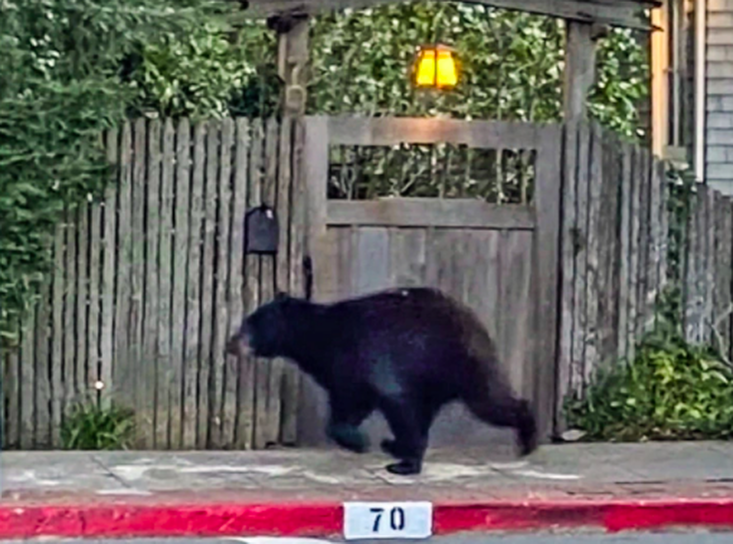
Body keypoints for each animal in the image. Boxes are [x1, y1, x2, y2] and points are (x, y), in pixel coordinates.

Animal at [226, 286, 537, 476]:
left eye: (249, 323)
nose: (230, 344)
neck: (320, 338)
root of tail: (472, 320)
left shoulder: (366, 357)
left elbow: (386, 403)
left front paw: (367, 444)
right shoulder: (344, 374)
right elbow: (346, 406)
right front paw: (362, 440)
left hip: (461, 362)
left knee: (489, 401)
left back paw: (527, 437)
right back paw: (396, 447)